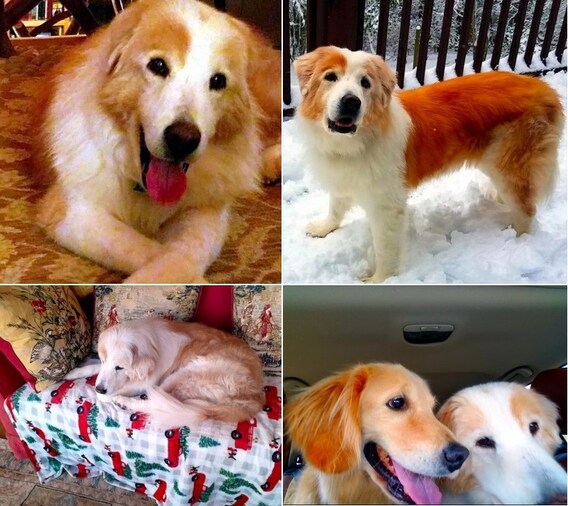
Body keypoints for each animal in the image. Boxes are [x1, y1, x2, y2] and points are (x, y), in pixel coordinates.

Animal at [34, 0, 280, 282]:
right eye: (158, 66)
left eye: (218, 80)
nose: (183, 139)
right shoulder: (76, 212)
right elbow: (145, 249)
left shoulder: (206, 212)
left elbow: (181, 254)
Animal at [66, 320, 264, 426]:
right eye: (103, 360)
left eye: (119, 367)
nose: (99, 388)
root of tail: (255, 397)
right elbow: (94, 369)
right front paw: (74, 372)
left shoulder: (145, 383)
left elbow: (112, 393)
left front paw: (108, 395)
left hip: (184, 373)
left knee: (153, 404)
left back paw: (122, 401)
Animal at [296, 46, 560, 284]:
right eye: (331, 77)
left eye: (365, 83)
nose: (351, 102)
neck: (354, 142)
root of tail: (545, 89)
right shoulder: (344, 179)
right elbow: (336, 207)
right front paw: (323, 228)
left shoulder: (387, 207)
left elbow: (385, 248)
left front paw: (379, 279)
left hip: (508, 166)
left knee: (527, 209)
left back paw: (519, 242)